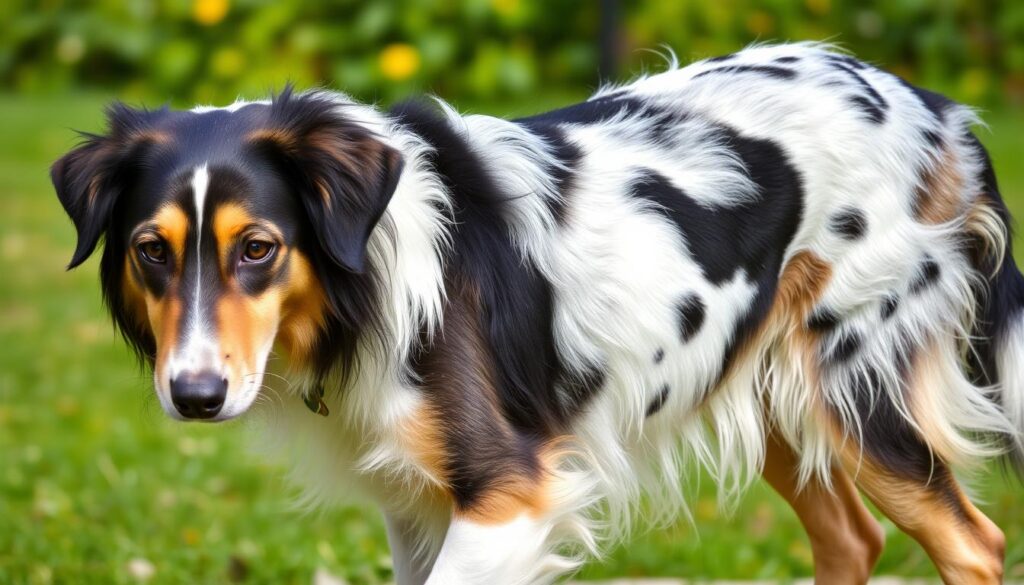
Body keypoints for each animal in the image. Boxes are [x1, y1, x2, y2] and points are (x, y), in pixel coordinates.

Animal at [51, 42, 1019, 585]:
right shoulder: (420, 506)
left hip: (857, 391)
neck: (375, 270)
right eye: (151, 250)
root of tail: (938, 111)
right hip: (768, 384)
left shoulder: (506, 492)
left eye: (258, 247)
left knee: (974, 543)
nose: (195, 396)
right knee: (853, 540)